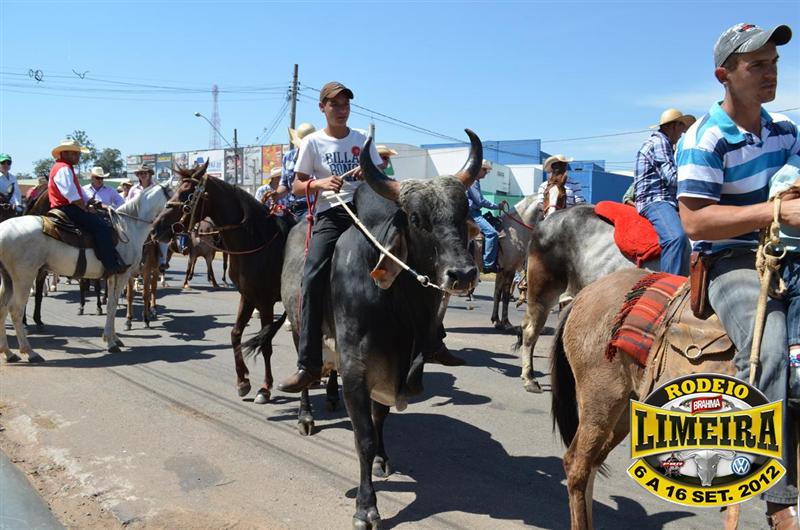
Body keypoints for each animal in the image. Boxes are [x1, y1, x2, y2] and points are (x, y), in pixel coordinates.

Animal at [0, 184, 171, 362]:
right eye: (171, 202)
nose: (164, 234)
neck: (129, 227)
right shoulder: (122, 275)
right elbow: (112, 305)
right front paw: (111, 342)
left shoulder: (112, 276)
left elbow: (112, 304)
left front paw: (113, 338)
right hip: (24, 277)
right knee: (15, 310)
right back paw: (29, 352)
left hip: (8, 278)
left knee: (3, 308)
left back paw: (8, 352)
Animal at [152, 162, 294, 404]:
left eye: (187, 193)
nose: (156, 228)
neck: (258, 242)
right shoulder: (248, 296)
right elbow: (235, 334)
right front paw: (242, 381)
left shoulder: (265, 301)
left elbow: (265, 344)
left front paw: (265, 388)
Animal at [247, 130, 482, 529]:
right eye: (416, 218)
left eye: (463, 211)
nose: (463, 273)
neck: (401, 307)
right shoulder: (358, 369)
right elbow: (364, 437)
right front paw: (366, 507)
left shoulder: (386, 367)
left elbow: (379, 419)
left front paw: (383, 459)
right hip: (298, 324)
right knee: (307, 368)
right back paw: (306, 413)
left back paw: (329, 395)